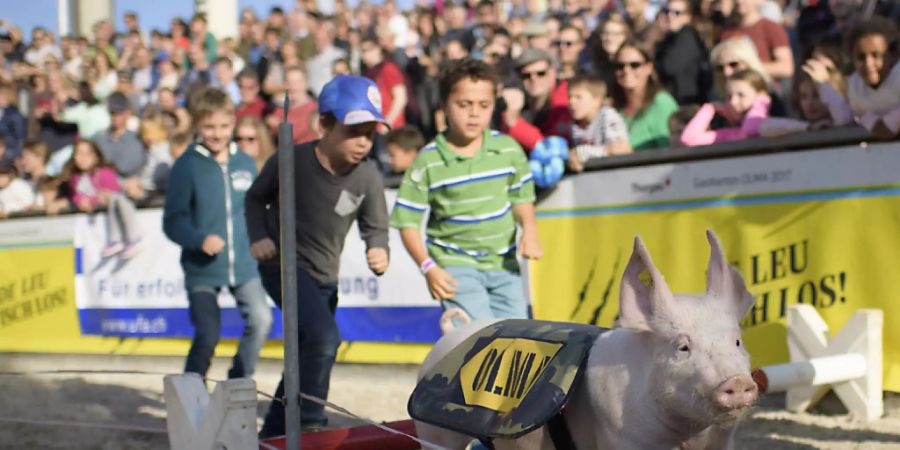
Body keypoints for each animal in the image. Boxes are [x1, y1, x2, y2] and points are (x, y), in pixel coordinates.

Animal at [414, 232, 760, 450]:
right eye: (682, 347)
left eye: (737, 342)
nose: (739, 381)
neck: (690, 435)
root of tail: (449, 334)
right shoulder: (622, 437)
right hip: (435, 433)